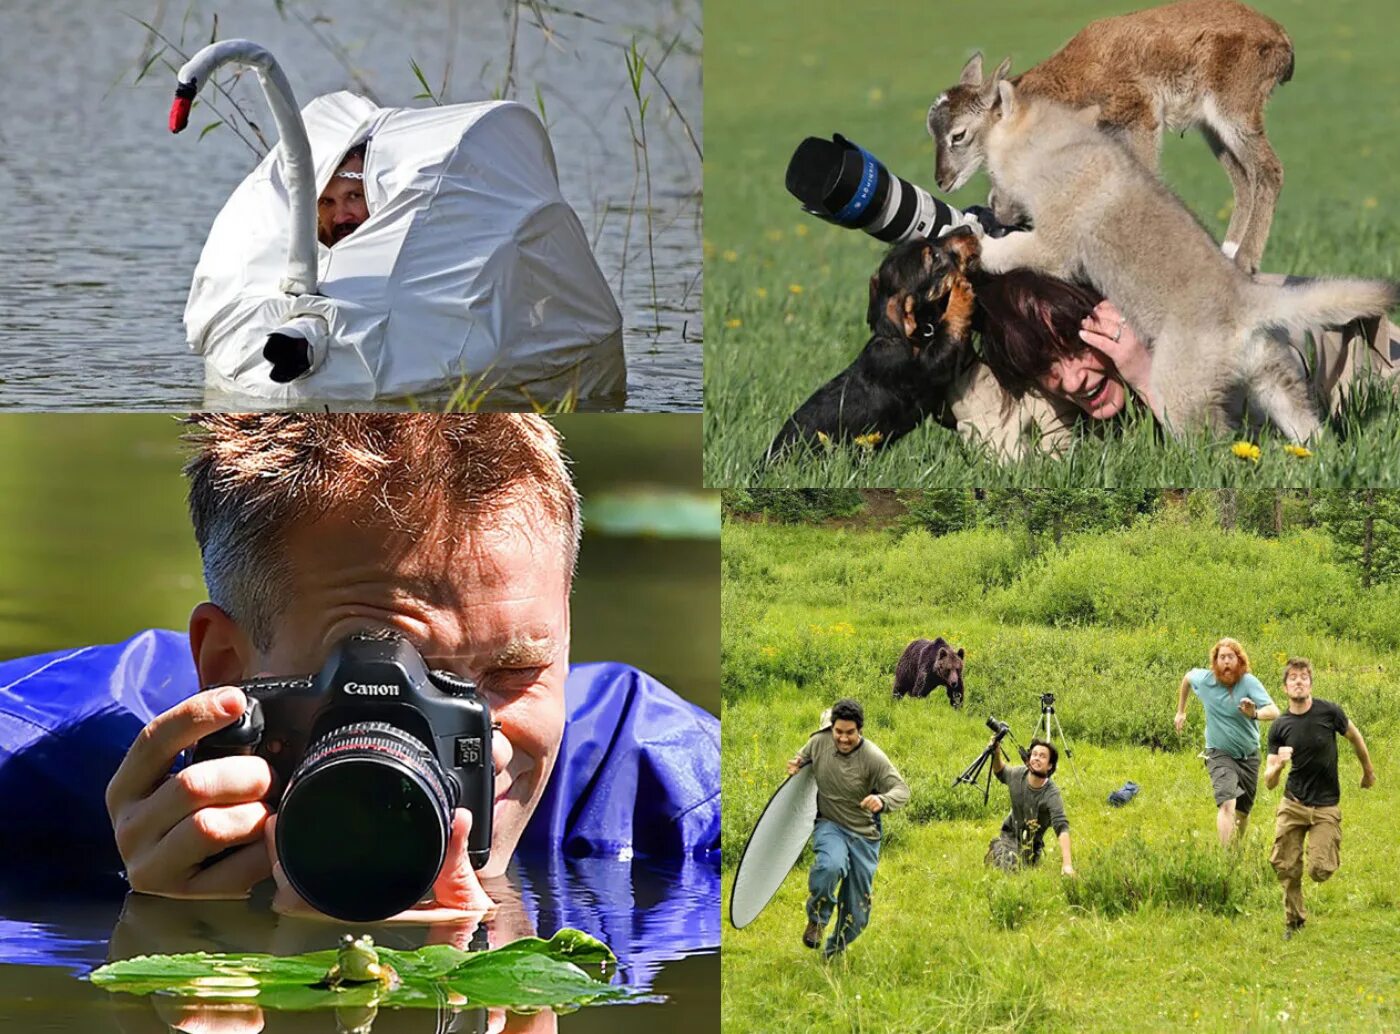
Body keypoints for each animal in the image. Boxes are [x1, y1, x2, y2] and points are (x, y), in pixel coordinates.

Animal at [761, 230, 980, 470]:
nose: (968, 229)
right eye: (933, 257)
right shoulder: (927, 365)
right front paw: (961, 292)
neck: (901, 337)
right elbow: (950, 328)